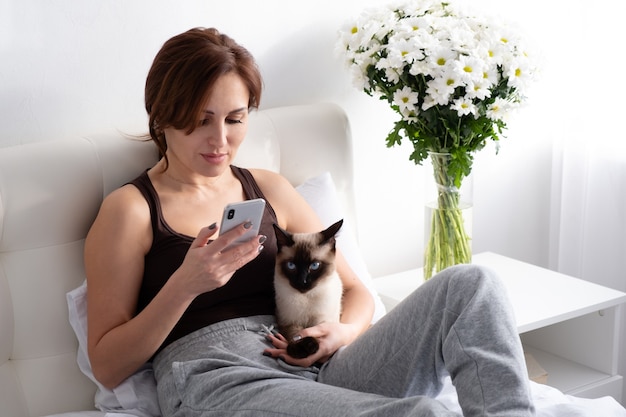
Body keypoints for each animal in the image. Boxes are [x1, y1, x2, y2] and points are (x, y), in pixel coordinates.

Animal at [272, 219, 344, 360]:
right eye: (291, 265)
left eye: (314, 266)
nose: (302, 282)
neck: (305, 298)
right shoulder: (288, 321)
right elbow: (295, 334)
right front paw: (300, 349)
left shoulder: (323, 321)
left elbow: (316, 333)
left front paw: (311, 346)